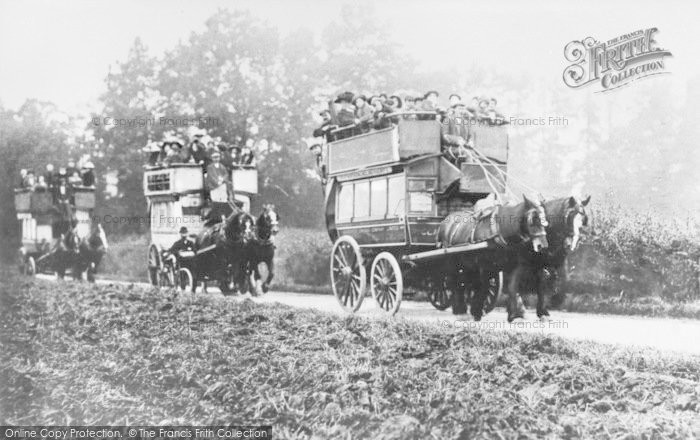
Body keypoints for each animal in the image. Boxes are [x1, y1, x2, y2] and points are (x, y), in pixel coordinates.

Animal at [438, 194, 548, 322]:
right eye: (532, 221)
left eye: (544, 221)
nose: (542, 246)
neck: (500, 231)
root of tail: (445, 221)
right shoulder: (484, 266)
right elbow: (484, 286)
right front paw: (477, 312)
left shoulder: (512, 265)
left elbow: (512, 287)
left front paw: (514, 315)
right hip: (452, 261)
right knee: (454, 281)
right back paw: (460, 310)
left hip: (467, 264)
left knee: (463, 282)